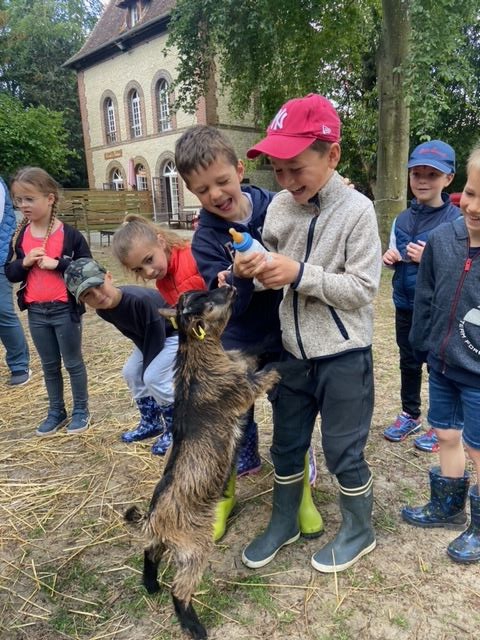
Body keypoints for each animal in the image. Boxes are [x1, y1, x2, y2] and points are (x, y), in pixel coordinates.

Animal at [125, 288, 280, 636]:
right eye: (208, 301)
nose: (231, 287)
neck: (198, 361)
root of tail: (152, 518)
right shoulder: (241, 388)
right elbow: (264, 376)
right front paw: (285, 365)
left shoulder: (241, 361)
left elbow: (255, 350)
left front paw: (274, 337)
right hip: (194, 546)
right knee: (180, 588)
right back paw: (194, 626)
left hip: (168, 541)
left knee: (150, 551)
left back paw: (150, 585)